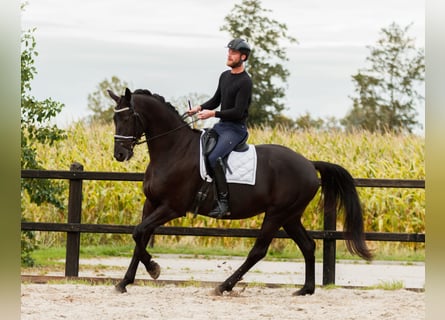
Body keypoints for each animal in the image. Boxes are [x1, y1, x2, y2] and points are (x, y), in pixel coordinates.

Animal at [107, 87, 372, 296]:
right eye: (114, 118)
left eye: (129, 117)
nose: (119, 154)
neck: (174, 149)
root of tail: (308, 164)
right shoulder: (151, 204)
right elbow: (138, 236)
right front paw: (125, 282)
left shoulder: (172, 208)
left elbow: (139, 232)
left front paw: (153, 269)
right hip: (290, 216)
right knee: (308, 246)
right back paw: (306, 289)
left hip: (277, 214)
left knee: (259, 251)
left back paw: (224, 286)